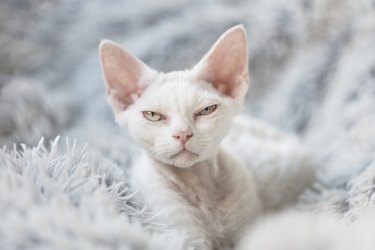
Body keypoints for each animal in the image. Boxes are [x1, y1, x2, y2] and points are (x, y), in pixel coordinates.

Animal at [97, 24, 314, 248]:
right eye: (153, 115)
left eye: (207, 110)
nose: (182, 134)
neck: (199, 184)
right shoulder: (179, 231)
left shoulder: (246, 226)